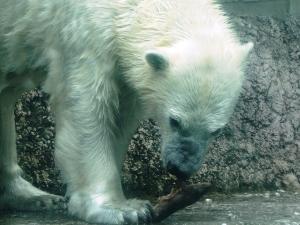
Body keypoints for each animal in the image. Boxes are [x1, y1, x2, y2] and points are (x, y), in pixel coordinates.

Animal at [0, 0, 253, 224]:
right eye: (174, 120)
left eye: (216, 130)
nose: (181, 168)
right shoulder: (84, 33)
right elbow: (87, 108)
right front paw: (122, 210)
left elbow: (120, 114)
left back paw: (34, 197)